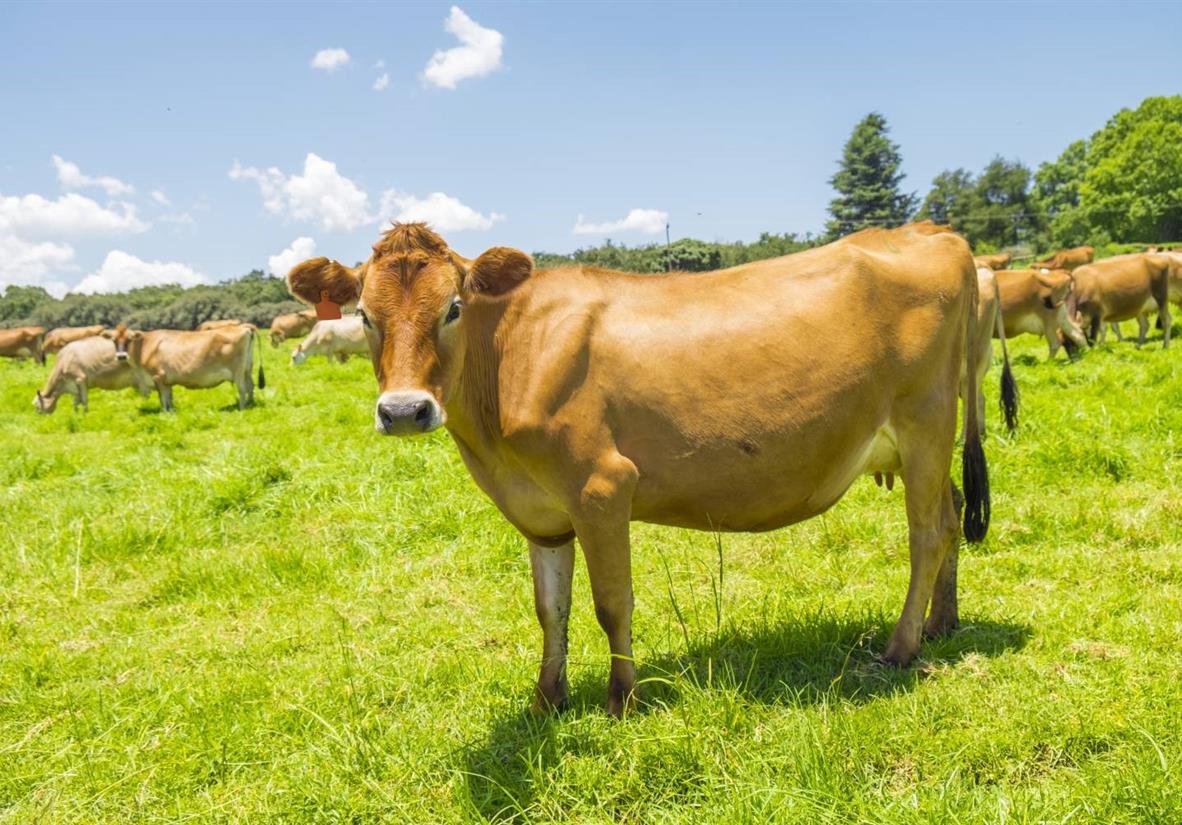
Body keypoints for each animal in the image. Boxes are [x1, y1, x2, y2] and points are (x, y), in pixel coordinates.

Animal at [104, 324, 266, 411]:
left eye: (130, 339)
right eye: (113, 340)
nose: (121, 356)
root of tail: (243, 326)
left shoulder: (158, 377)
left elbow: (163, 398)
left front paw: (165, 413)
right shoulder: (166, 381)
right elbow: (169, 397)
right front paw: (171, 411)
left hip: (237, 371)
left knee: (243, 389)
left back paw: (241, 408)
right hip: (247, 369)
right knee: (251, 386)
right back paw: (251, 404)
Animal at [286, 221, 991, 717]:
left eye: (452, 308)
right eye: (365, 316)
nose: (405, 410)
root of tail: (932, 232)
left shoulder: (601, 487)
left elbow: (610, 601)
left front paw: (622, 698)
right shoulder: (540, 512)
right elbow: (550, 608)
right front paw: (547, 699)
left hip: (926, 423)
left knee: (927, 534)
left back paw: (901, 647)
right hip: (927, 443)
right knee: (953, 514)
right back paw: (941, 623)